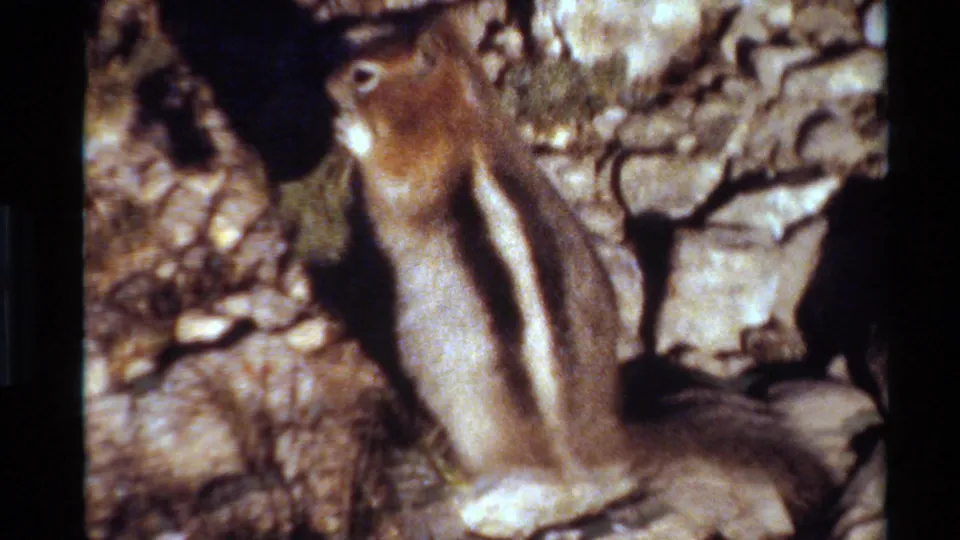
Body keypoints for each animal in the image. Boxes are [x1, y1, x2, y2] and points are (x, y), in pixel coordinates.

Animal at [326, 11, 834, 539]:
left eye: (363, 74)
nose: (328, 84)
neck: (461, 107)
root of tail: (601, 440)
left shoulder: (417, 168)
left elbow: (387, 186)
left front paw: (351, 132)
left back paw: (465, 487)